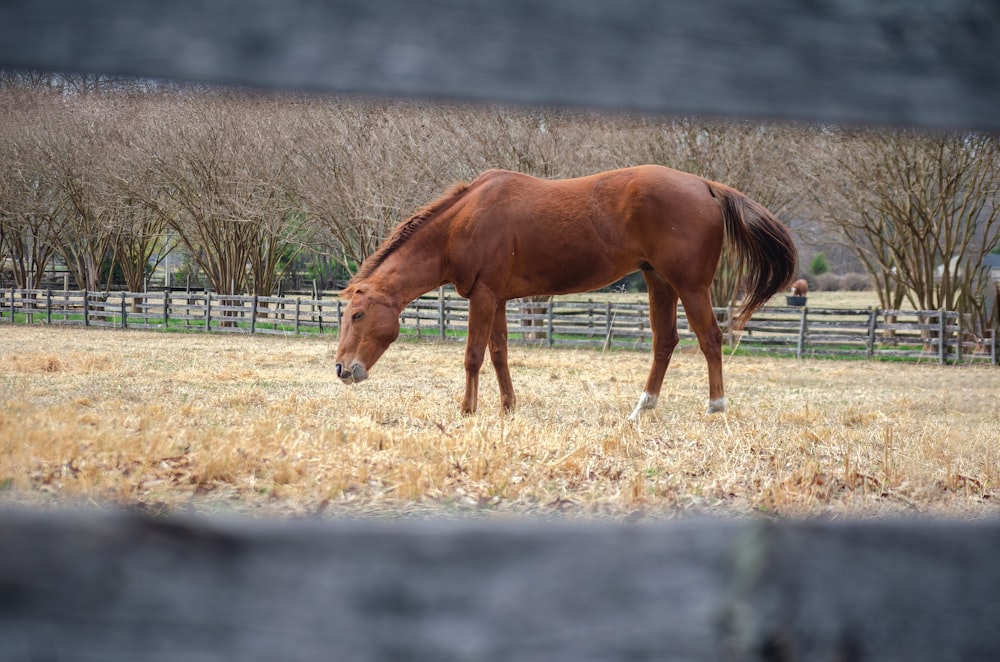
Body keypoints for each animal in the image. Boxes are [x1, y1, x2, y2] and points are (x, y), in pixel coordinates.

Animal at [336, 165, 796, 416]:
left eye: (357, 315)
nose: (342, 369)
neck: (462, 223)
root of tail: (705, 185)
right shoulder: (497, 298)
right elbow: (500, 353)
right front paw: (508, 407)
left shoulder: (483, 297)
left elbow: (473, 356)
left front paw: (467, 410)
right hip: (659, 282)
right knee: (665, 342)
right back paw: (641, 408)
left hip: (691, 286)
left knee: (711, 339)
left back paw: (716, 407)